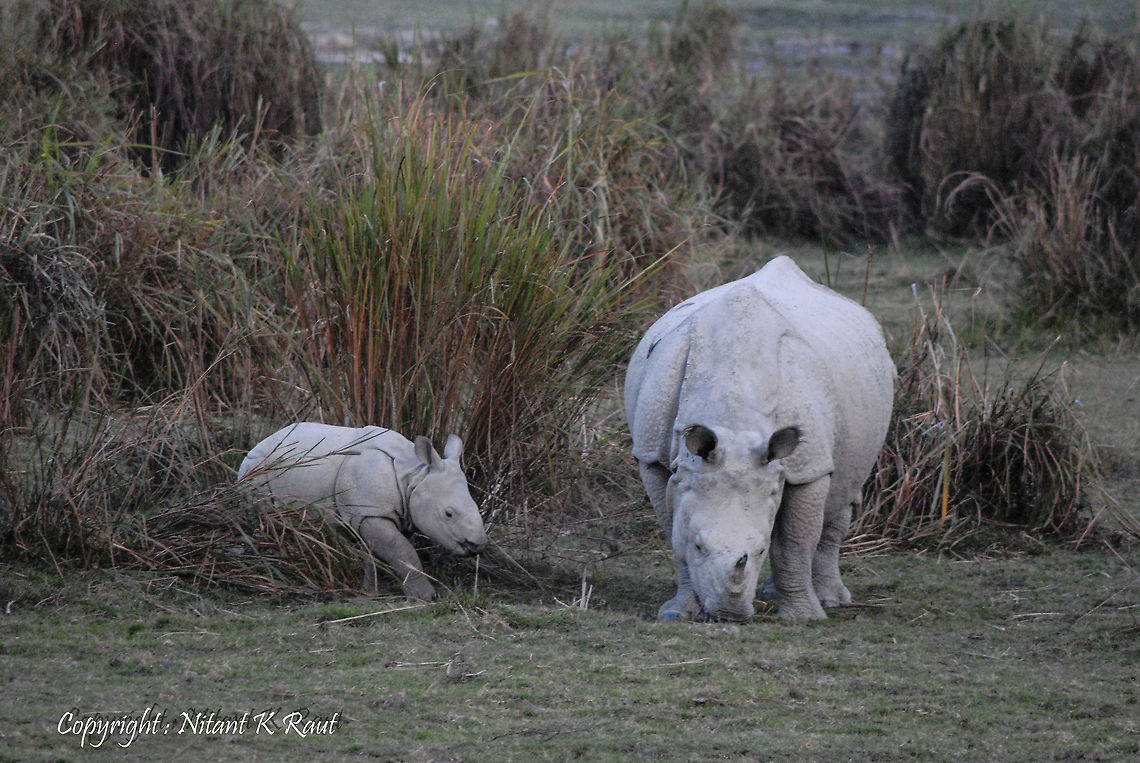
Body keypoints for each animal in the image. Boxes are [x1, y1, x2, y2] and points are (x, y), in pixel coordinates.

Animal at [237, 423, 488, 601]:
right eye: (448, 514)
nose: (478, 545)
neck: (413, 474)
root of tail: (255, 446)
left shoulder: (378, 514)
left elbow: (379, 552)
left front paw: (370, 591)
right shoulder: (372, 513)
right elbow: (404, 551)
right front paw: (426, 596)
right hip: (256, 470)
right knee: (263, 519)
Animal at [625, 256, 895, 622]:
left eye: (761, 549)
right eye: (699, 545)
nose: (729, 614)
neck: (733, 419)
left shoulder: (808, 464)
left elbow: (794, 542)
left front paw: (804, 618)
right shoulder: (653, 456)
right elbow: (674, 532)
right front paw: (678, 613)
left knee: (844, 492)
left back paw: (828, 600)